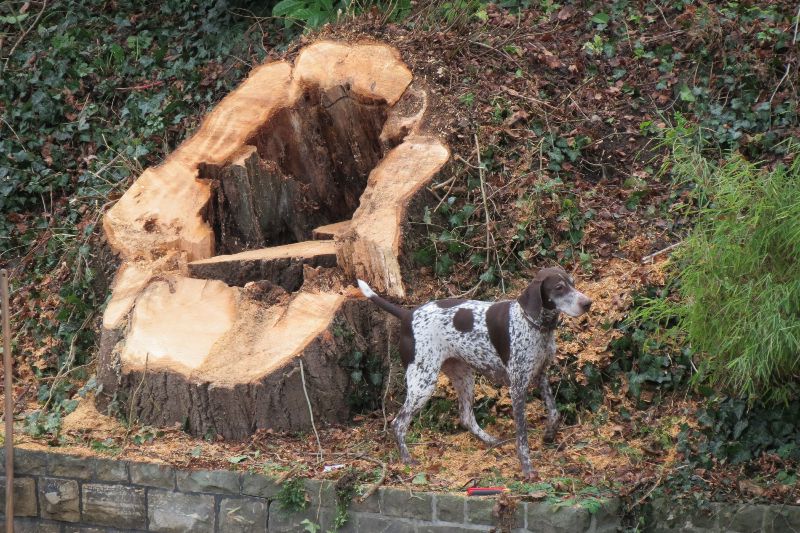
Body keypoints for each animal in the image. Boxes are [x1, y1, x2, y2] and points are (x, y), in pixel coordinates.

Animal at [360, 266, 592, 478]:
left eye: (572, 283)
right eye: (559, 287)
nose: (587, 303)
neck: (534, 324)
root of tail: (408, 314)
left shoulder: (541, 375)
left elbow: (554, 412)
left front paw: (549, 434)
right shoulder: (518, 388)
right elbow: (522, 436)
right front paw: (527, 468)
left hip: (464, 377)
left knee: (465, 417)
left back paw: (490, 440)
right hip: (423, 383)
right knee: (398, 423)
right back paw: (407, 459)